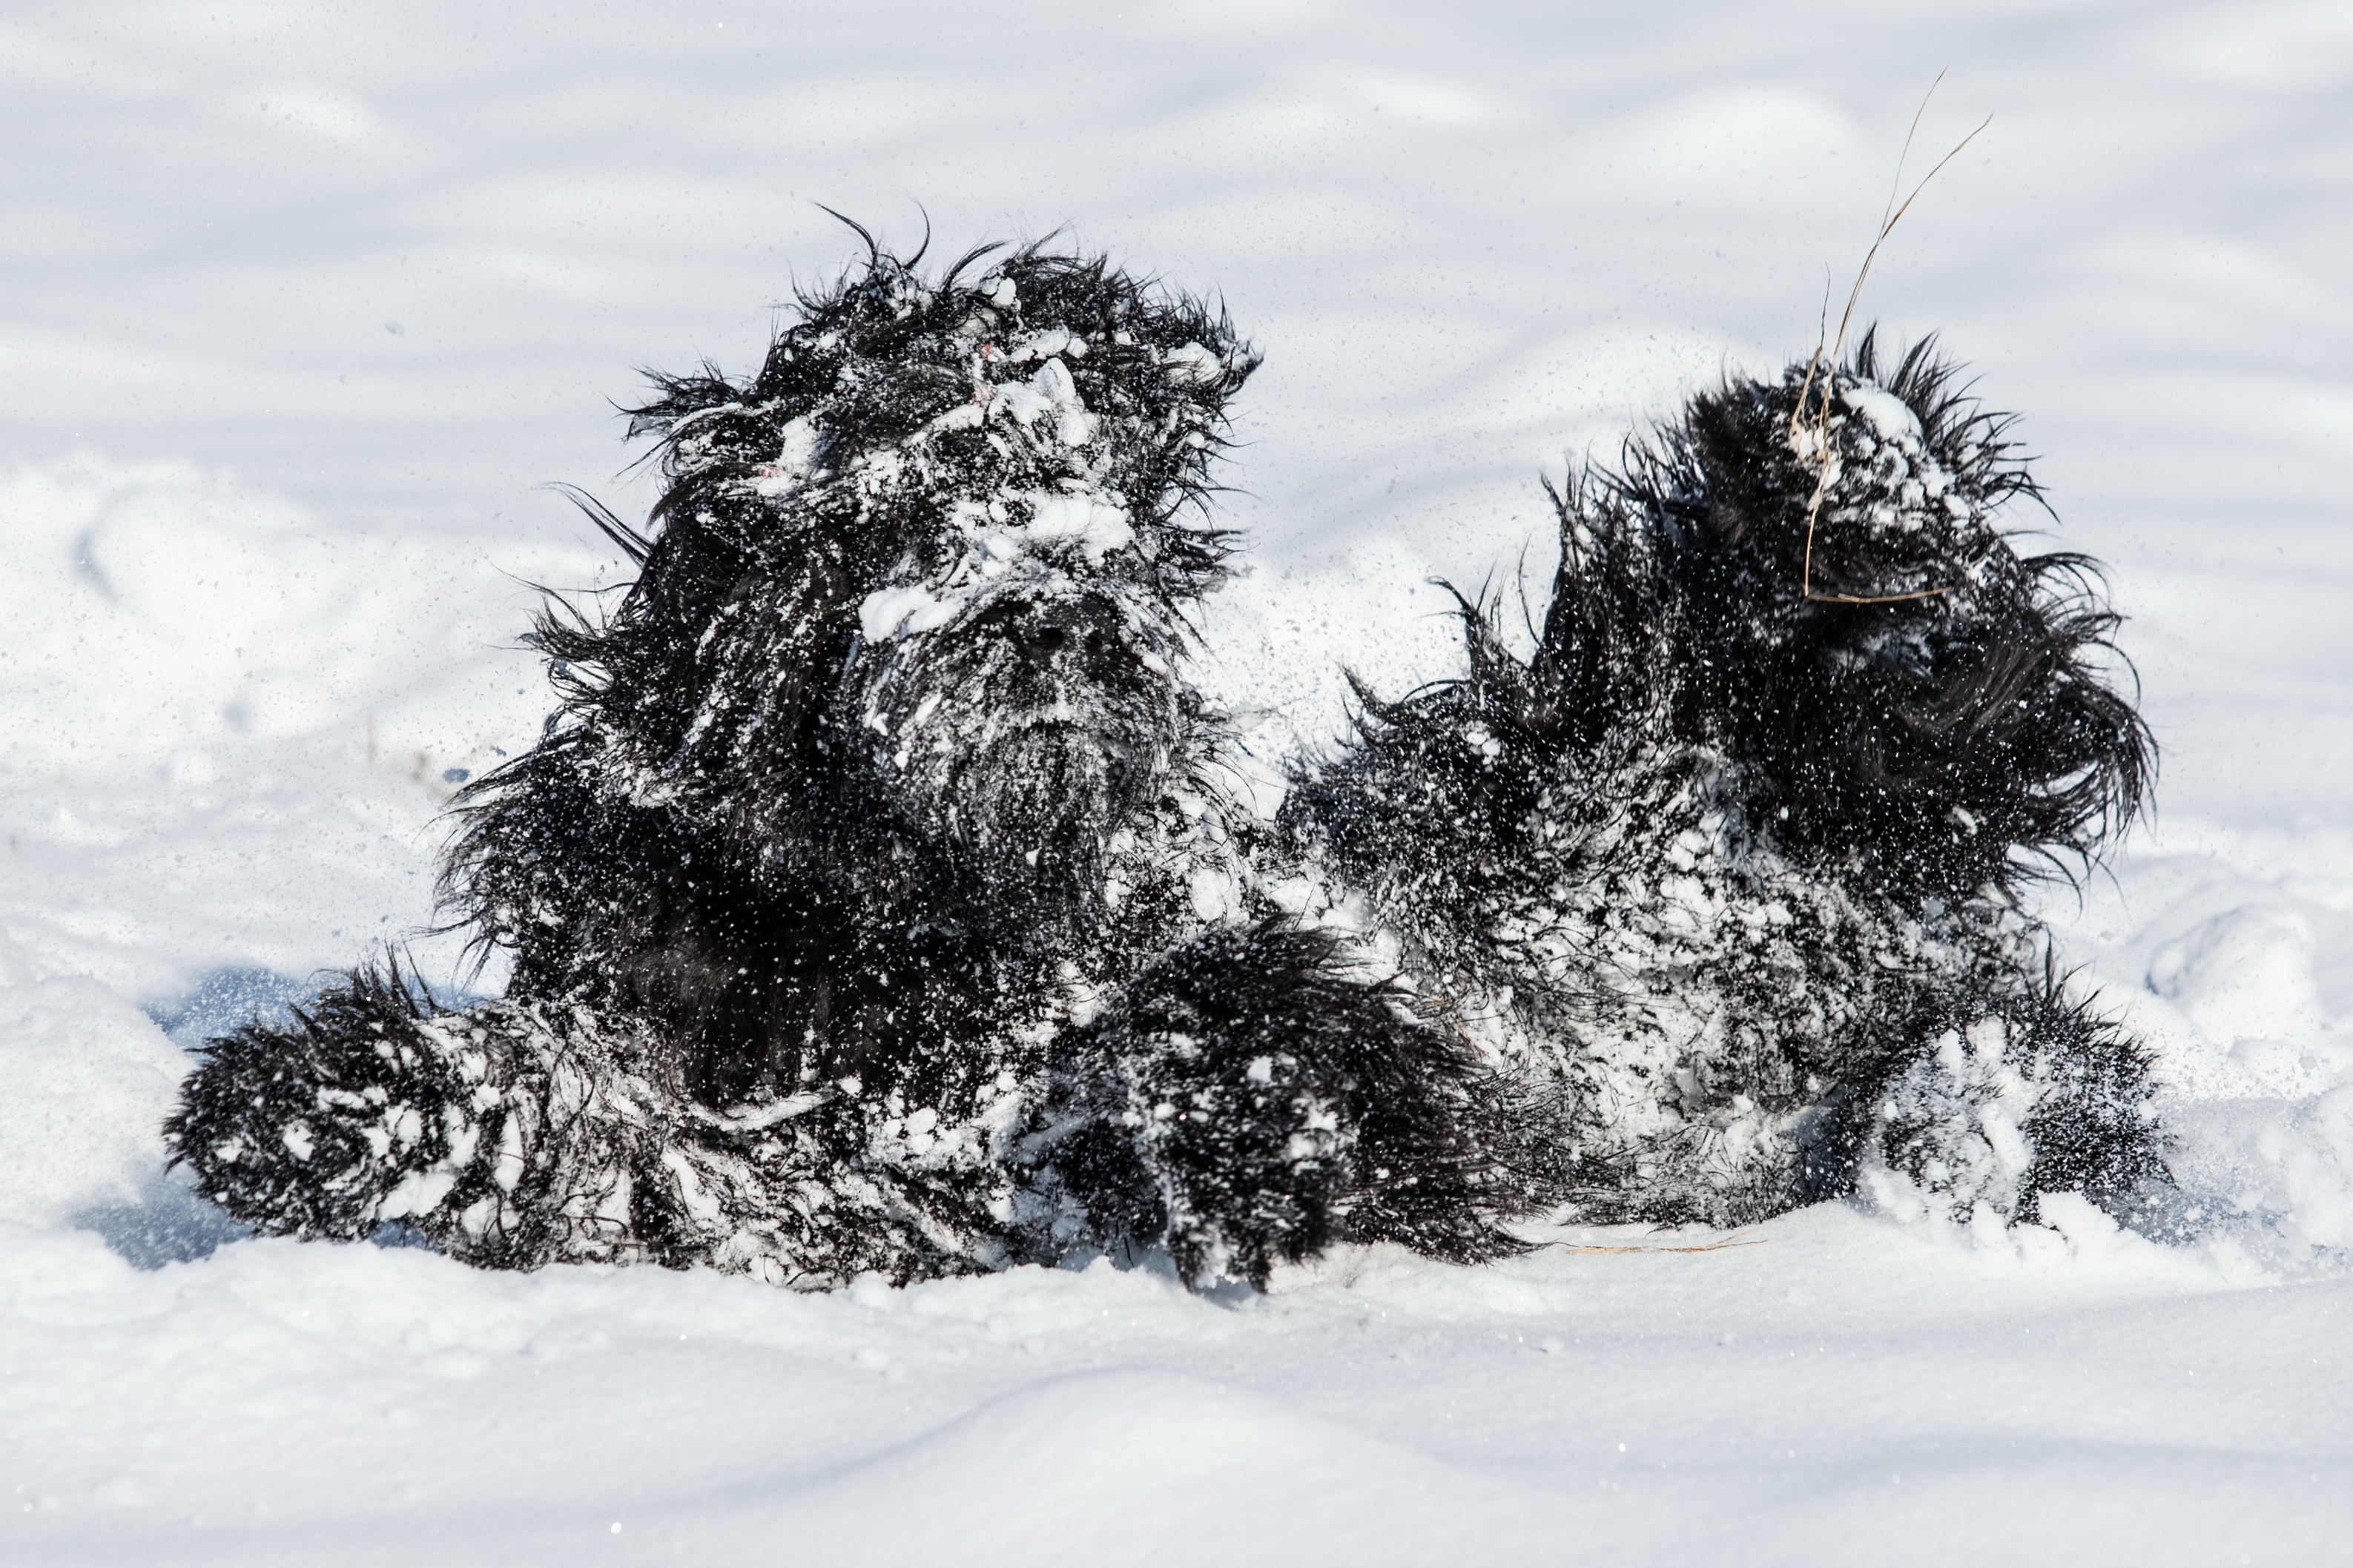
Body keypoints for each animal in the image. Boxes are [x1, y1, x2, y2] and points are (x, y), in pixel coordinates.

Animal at [174, 236, 1515, 1288]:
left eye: (1081, 499)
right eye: (909, 508)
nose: (1061, 619)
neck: (882, 904)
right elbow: (579, 1106)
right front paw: (314, 1103)